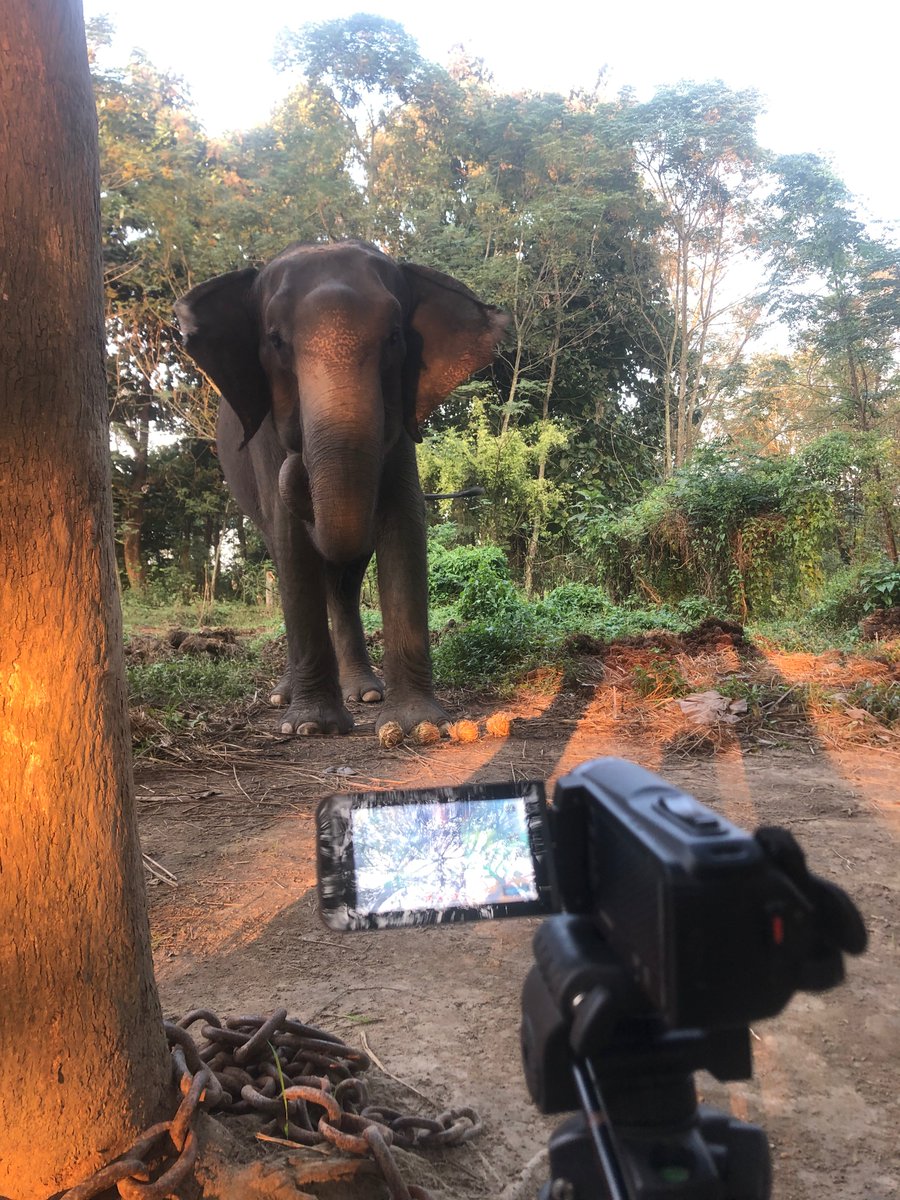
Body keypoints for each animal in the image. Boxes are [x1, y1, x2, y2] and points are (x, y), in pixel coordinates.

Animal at [175, 240, 507, 738]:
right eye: (276, 341)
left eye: (395, 338)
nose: (299, 463)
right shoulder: (265, 437)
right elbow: (289, 535)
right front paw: (312, 728)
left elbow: (404, 518)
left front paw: (415, 725)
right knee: (284, 554)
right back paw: (286, 696)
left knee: (345, 580)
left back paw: (367, 694)